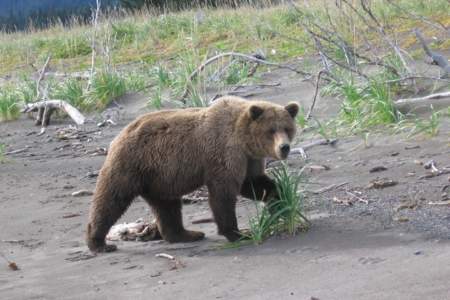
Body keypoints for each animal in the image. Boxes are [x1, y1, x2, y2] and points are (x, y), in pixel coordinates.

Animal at [87, 95, 298, 251]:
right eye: (271, 130)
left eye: (287, 128)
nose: (284, 147)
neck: (243, 139)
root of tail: (119, 135)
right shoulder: (224, 152)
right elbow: (223, 193)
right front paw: (238, 233)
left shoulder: (250, 158)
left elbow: (253, 183)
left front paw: (279, 201)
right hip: (131, 165)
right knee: (111, 199)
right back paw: (98, 242)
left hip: (159, 178)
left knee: (167, 206)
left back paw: (187, 234)